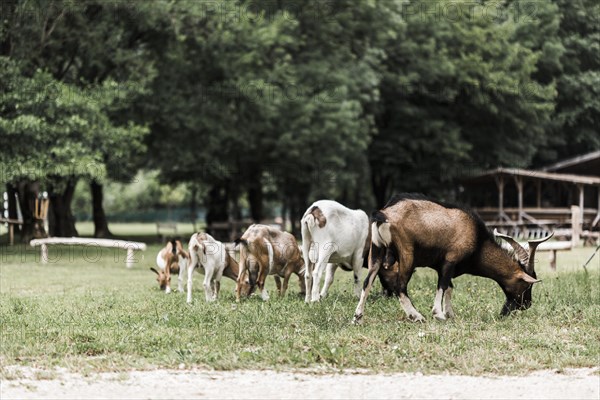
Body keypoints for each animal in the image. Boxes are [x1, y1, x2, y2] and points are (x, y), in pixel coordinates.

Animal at [352, 195, 552, 324]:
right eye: (527, 285)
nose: (527, 305)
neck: (477, 241)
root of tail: (384, 215)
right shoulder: (450, 260)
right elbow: (442, 285)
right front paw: (439, 314)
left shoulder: (443, 266)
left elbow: (449, 287)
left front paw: (450, 314)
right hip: (406, 253)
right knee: (400, 286)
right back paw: (417, 316)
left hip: (376, 251)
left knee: (367, 281)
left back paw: (358, 317)